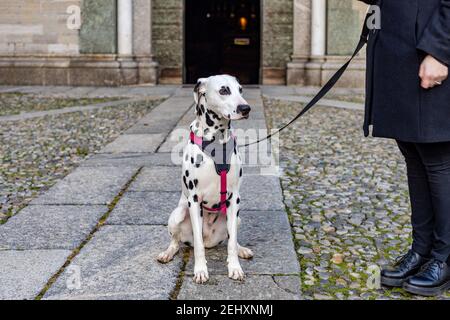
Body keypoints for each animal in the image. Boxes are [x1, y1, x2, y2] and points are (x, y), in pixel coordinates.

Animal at [157, 75, 253, 284]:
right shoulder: (194, 200)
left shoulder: (235, 199)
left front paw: (235, 268)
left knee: (232, 238)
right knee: (176, 241)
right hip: (178, 215)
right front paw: (200, 270)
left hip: (237, 217)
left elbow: (231, 243)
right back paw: (168, 253)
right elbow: (199, 246)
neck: (217, 141)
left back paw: (242, 249)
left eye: (240, 89)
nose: (246, 108)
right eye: (224, 90)